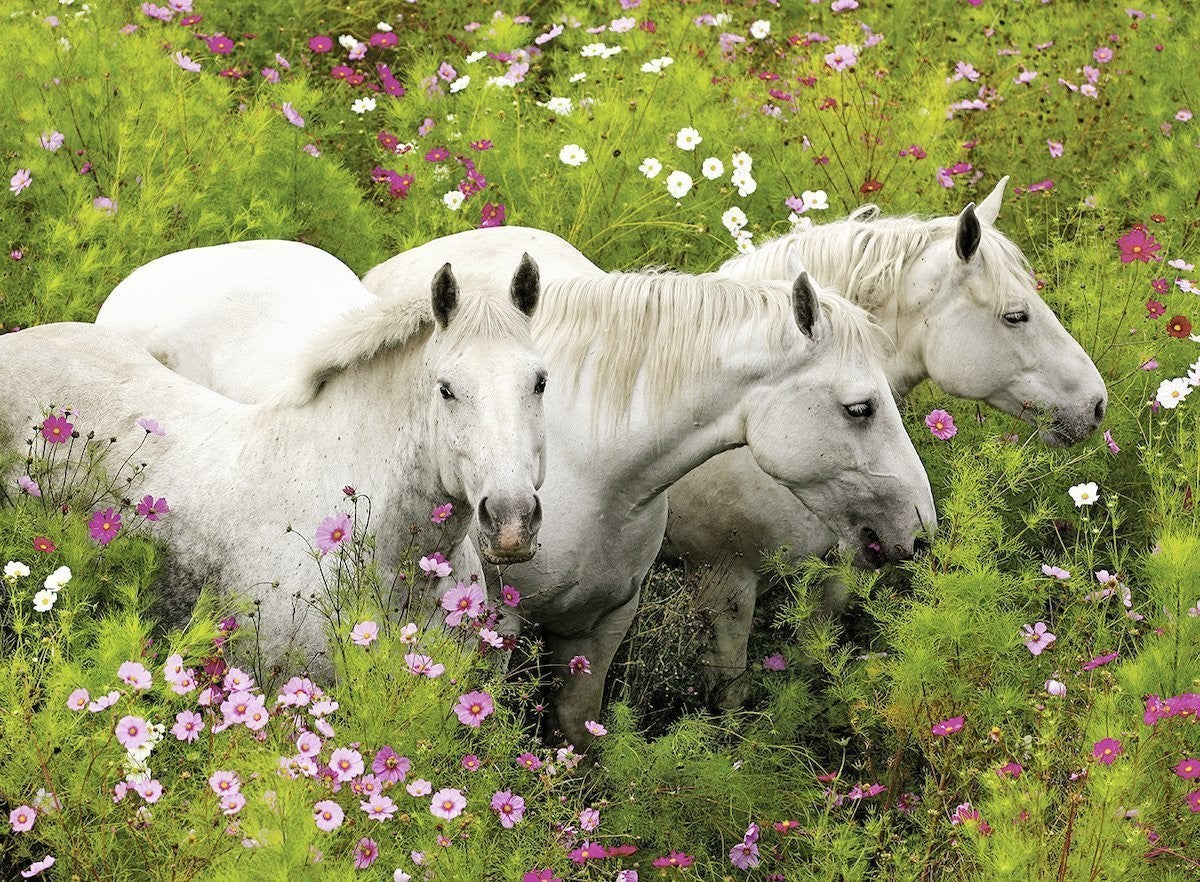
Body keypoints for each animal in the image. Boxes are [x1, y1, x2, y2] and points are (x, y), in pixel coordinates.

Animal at [666, 177, 1110, 708]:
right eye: (1016, 315)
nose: (1096, 405)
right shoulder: (723, 587)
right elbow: (730, 695)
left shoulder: (836, 570)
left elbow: (817, 658)